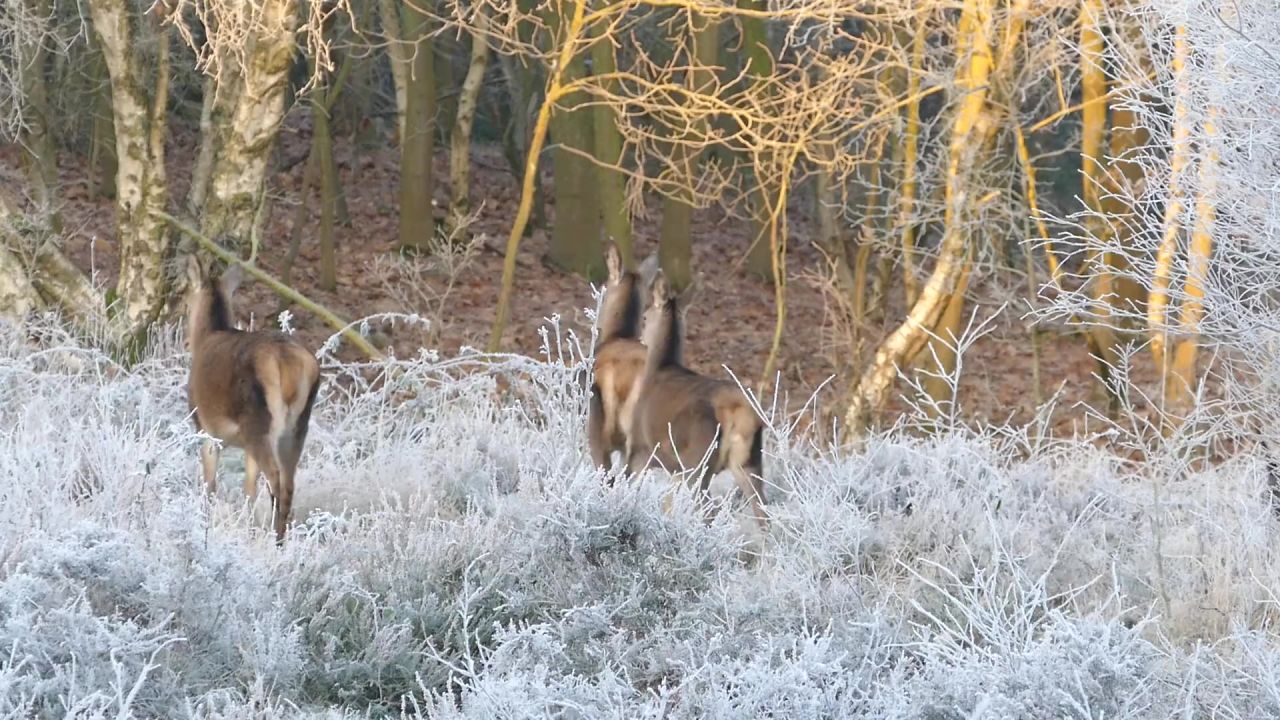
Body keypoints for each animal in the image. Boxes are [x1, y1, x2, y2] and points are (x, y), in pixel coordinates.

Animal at [185, 256, 321, 544]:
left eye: (186, 296)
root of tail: (289, 362)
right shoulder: (244, 446)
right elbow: (248, 489)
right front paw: (247, 529)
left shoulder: (205, 429)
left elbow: (209, 485)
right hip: (296, 427)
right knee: (289, 483)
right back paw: (282, 540)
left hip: (258, 422)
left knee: (276, 480)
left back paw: (275, 539)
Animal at [626, 271, 767, 530]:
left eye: (645, 316)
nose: (640, 338)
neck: (658, 369)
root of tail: (738, 412)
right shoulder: (675, 470)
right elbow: (669, 504)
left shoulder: (641, 447)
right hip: (750, 462)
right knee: (763, 515)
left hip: (699, 460)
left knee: (710, 509)